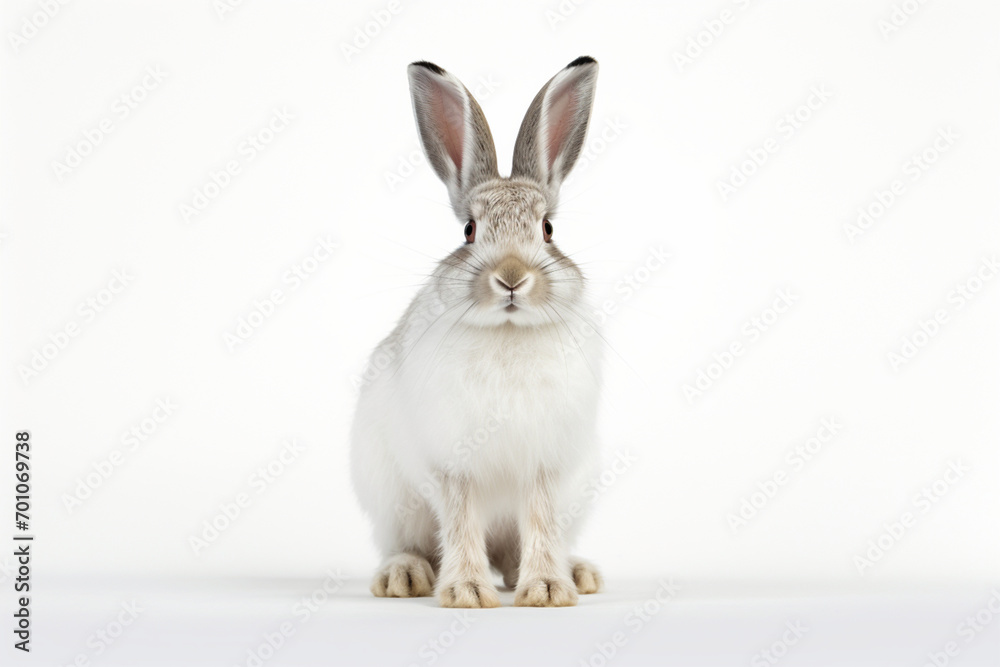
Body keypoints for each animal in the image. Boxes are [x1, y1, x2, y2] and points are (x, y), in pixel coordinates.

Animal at [350, 56, 604, 608]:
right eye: (468, 230)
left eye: (548, 229)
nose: (511, 277)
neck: (507, 332)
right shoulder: (452, 465)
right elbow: (461, 522)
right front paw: (466, 591)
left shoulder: (545, 466)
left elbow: (540, 522)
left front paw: (547, 590)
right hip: (391, 495)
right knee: (410, 542)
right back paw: (405, 577)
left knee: (512, 552)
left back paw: (577, 573)